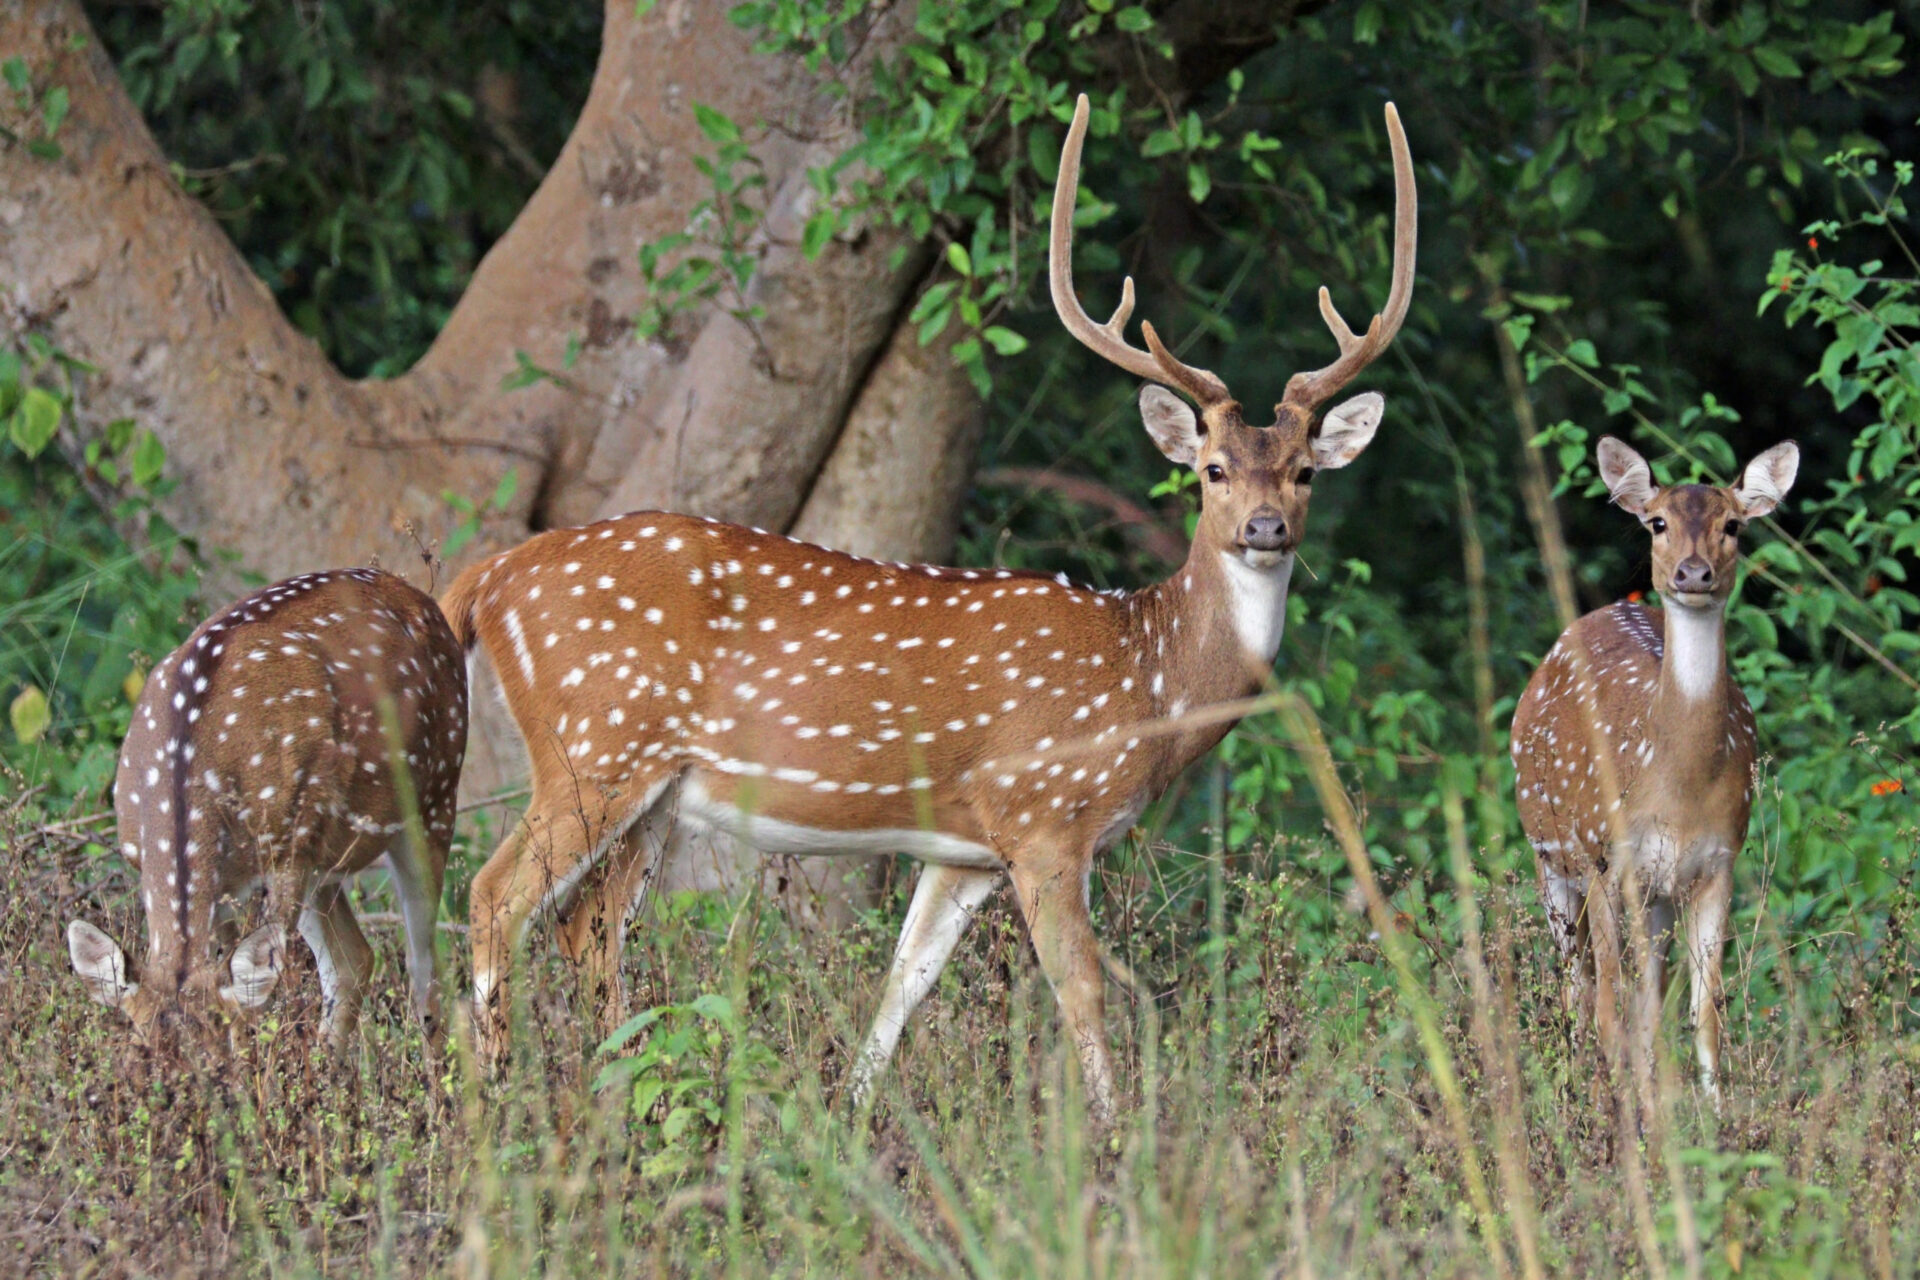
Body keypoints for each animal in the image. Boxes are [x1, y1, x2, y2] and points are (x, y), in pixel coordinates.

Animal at [71, 571, 472, 1051]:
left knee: (424, 969)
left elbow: (260, 994)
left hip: (434, 795)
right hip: (320, 858)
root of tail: (420, 595)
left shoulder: (285, 850)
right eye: (139, 1051)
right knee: (354, 959)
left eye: (219, 1053)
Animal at [441, 90, 1420, 1113]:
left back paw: (619, 1105)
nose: (1267, 528)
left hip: (651, 787)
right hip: (594, 744)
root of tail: (490, 578)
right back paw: (488, 1108)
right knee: (494, 896)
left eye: (1306, 470)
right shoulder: (1044, 815)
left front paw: (850, 1122)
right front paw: (1117, 1138)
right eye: (1213, 469)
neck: (1147, 675)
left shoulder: (963, 851)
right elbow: (1082, 992)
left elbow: (902, 987)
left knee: (587, 928)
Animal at [1512, 437, 1797, 1105]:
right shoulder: (1608, 857)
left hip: (1658, 893)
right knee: (1580, 987)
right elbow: (1612, 1004)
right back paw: (1583, 1089)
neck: (1678, 790)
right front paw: (1622, 1115)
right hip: (1554, 856)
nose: (1693, 573)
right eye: (1658, 522)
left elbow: (1703, 1012)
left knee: (1639, 998)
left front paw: (1712, 1116)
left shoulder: (1719, 863)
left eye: (1733, 525)